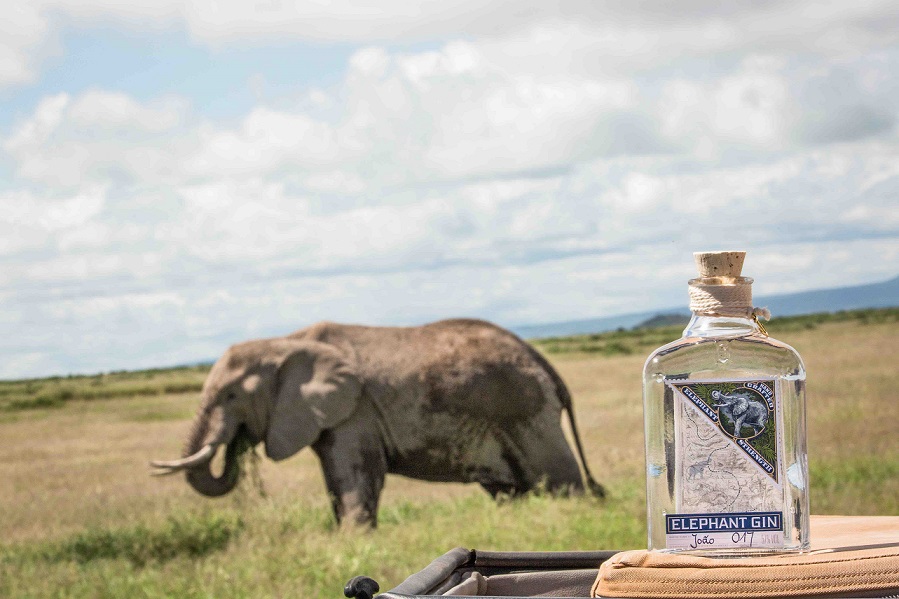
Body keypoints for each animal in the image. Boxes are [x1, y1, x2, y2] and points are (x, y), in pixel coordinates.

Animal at [152, 318, 604, 526]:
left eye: (230, 396)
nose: (238, 442)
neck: (285, 342)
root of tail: (542, 360)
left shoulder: (356, 412)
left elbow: (355, 474)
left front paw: (352, 539)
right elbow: (337, 480)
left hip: (526, 409)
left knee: (562, 480)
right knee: (510, 490)